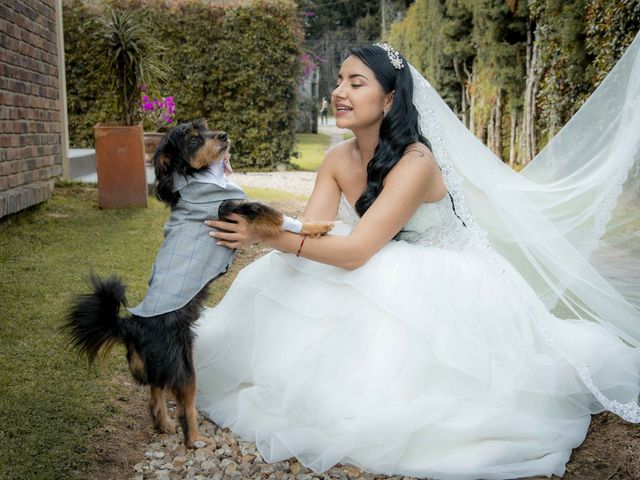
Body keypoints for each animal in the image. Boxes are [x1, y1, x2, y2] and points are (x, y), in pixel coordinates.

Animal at [65, 119, 332, 446]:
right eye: (193, 140)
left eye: (204, 128)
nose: (224, 135)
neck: (200, 178)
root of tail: (131, 325)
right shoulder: (236, 209)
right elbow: (280, 218)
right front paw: (316, 226)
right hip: (183, 363)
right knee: (184, 405)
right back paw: (195, 440)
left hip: (157, 363)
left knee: (155, 392)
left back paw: (164, 424)